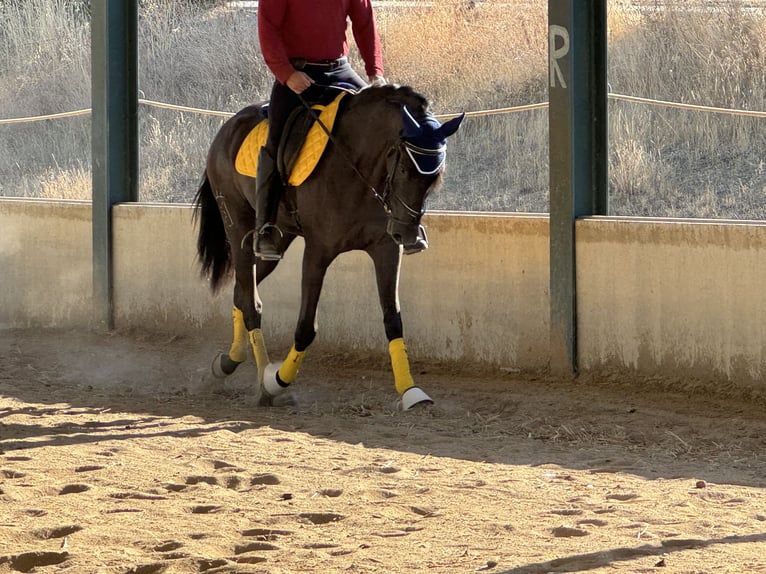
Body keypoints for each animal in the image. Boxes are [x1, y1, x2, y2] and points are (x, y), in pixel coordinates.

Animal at [195, 84, 464, 410]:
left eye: (434, 178)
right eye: (403, 170)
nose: (408, 234)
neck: (358, 168)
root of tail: (227, 127)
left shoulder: (386, 249)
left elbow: (393, 320)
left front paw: (411, 391)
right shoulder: (317, 252)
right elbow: (306, 328)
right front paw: (276, 382)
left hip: (276, 242)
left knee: (242, 290)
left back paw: (227, 363)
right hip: (238, 228)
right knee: (250, 302)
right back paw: (262, 380)